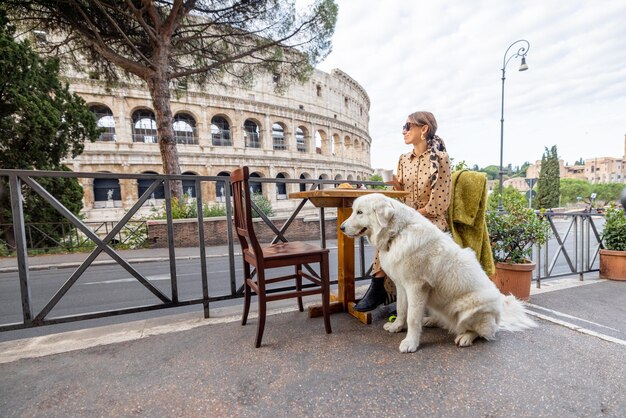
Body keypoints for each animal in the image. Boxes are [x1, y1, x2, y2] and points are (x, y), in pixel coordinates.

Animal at [338, 193, 532, 352]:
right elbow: (401, 309)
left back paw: (465, 337)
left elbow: (412, 318)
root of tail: (498, 315)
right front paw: (396, 327)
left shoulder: (416, 287)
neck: (398, 233)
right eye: (354, 211)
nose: (341, 228)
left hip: (469, 309)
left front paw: (410, 343)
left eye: (360, 212)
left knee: (483, 332)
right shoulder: (401, 286)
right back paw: (430, 321)